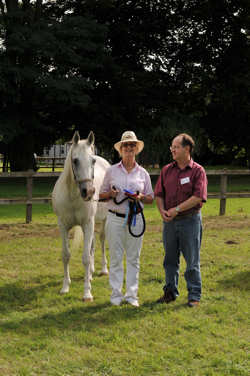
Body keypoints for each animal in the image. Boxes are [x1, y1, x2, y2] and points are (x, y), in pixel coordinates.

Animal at [52, 131, 110, 302]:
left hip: (102, 220)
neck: (72, 194)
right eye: (75, 160)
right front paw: (65, 287)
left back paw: (103, 269)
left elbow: (85, 258)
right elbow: (66, 255)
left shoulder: (88, 223)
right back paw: (90, 273)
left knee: (102, 240)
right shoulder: (63, 226)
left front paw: (87, 293)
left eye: (93, 160)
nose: (88, 192)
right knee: (92, 245)